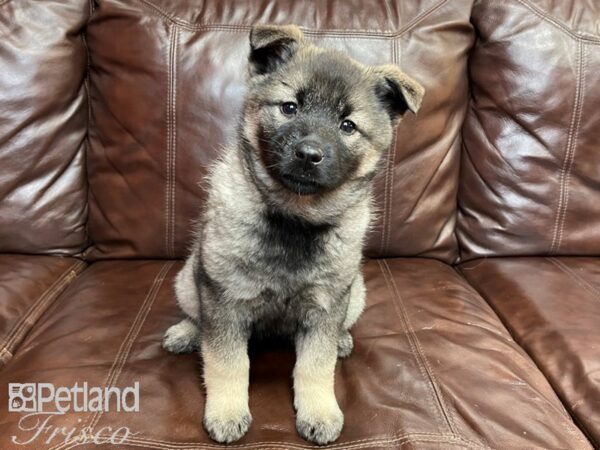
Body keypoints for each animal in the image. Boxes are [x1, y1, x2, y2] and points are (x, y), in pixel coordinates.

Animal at [164, 23, 424, 442]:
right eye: (290, 108)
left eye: (348, 125)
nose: (308, 154)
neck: (295, 217)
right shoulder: (224, 298)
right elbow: (226, 361)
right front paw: (226, 410)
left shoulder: (326, 303)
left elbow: (315, 365)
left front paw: (319, 411)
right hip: (189, 277)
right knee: (198, 318)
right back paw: (187, 332)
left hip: (356, 293)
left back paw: (343, 340)